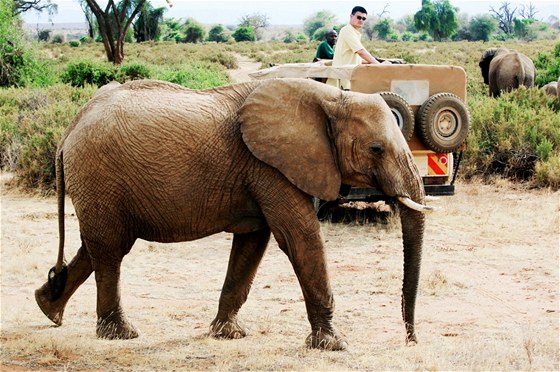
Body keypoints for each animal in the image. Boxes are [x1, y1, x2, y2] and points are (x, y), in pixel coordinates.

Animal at [35, 79, 430, 352]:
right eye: (376, 149)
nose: (410, 340)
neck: (330, 96)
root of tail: (70, 128)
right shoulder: (270, 167)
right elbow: (299, 238)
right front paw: (334, 346)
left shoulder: (263, 172)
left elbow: (253, 244)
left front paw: (227, 334)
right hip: (98, 174)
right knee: (110, 250)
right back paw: (120, 335)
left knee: (97, 247)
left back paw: (48, 309)